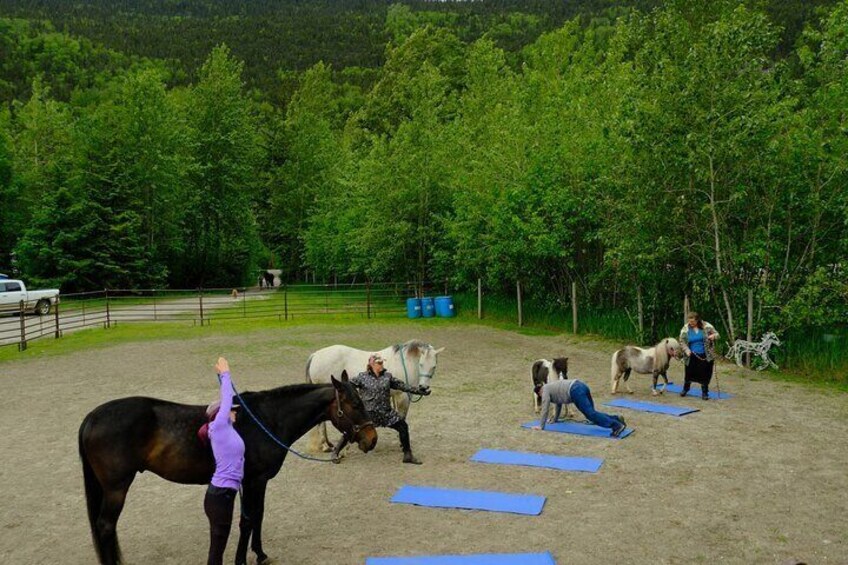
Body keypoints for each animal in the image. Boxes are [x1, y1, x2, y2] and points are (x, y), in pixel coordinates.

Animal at [79, 374, 378, 564]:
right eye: (355, 404)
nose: (371, 438)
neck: (266, 419)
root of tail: (92, 417)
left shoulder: (259, 481)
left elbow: (257, 517)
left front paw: (260, 554)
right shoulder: (254, 481)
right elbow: (248, 520)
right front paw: (242, 559)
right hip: (116, 489)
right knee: (105, 526)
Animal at [304, 338, 444, 452]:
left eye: (434, 366)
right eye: (421, 364)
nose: (423, 388)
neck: (404, 362)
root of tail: (315, 355)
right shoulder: (402, 397)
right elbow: (402, 417)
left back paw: (328, 444)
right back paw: (325, 446)